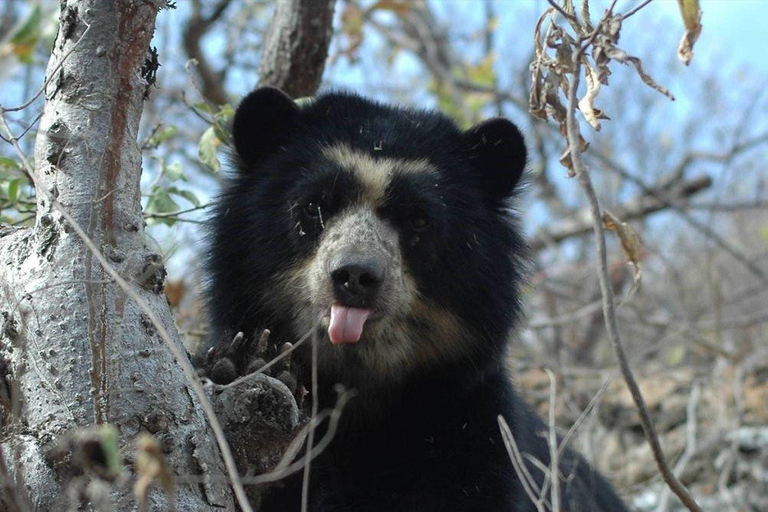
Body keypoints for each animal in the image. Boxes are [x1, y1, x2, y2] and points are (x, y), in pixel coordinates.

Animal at [206, 88, 632, 512]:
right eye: (313, 207)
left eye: (418, 220)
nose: (355, 276)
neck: (361, 389)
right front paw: (247, 362)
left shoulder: (473, 437)